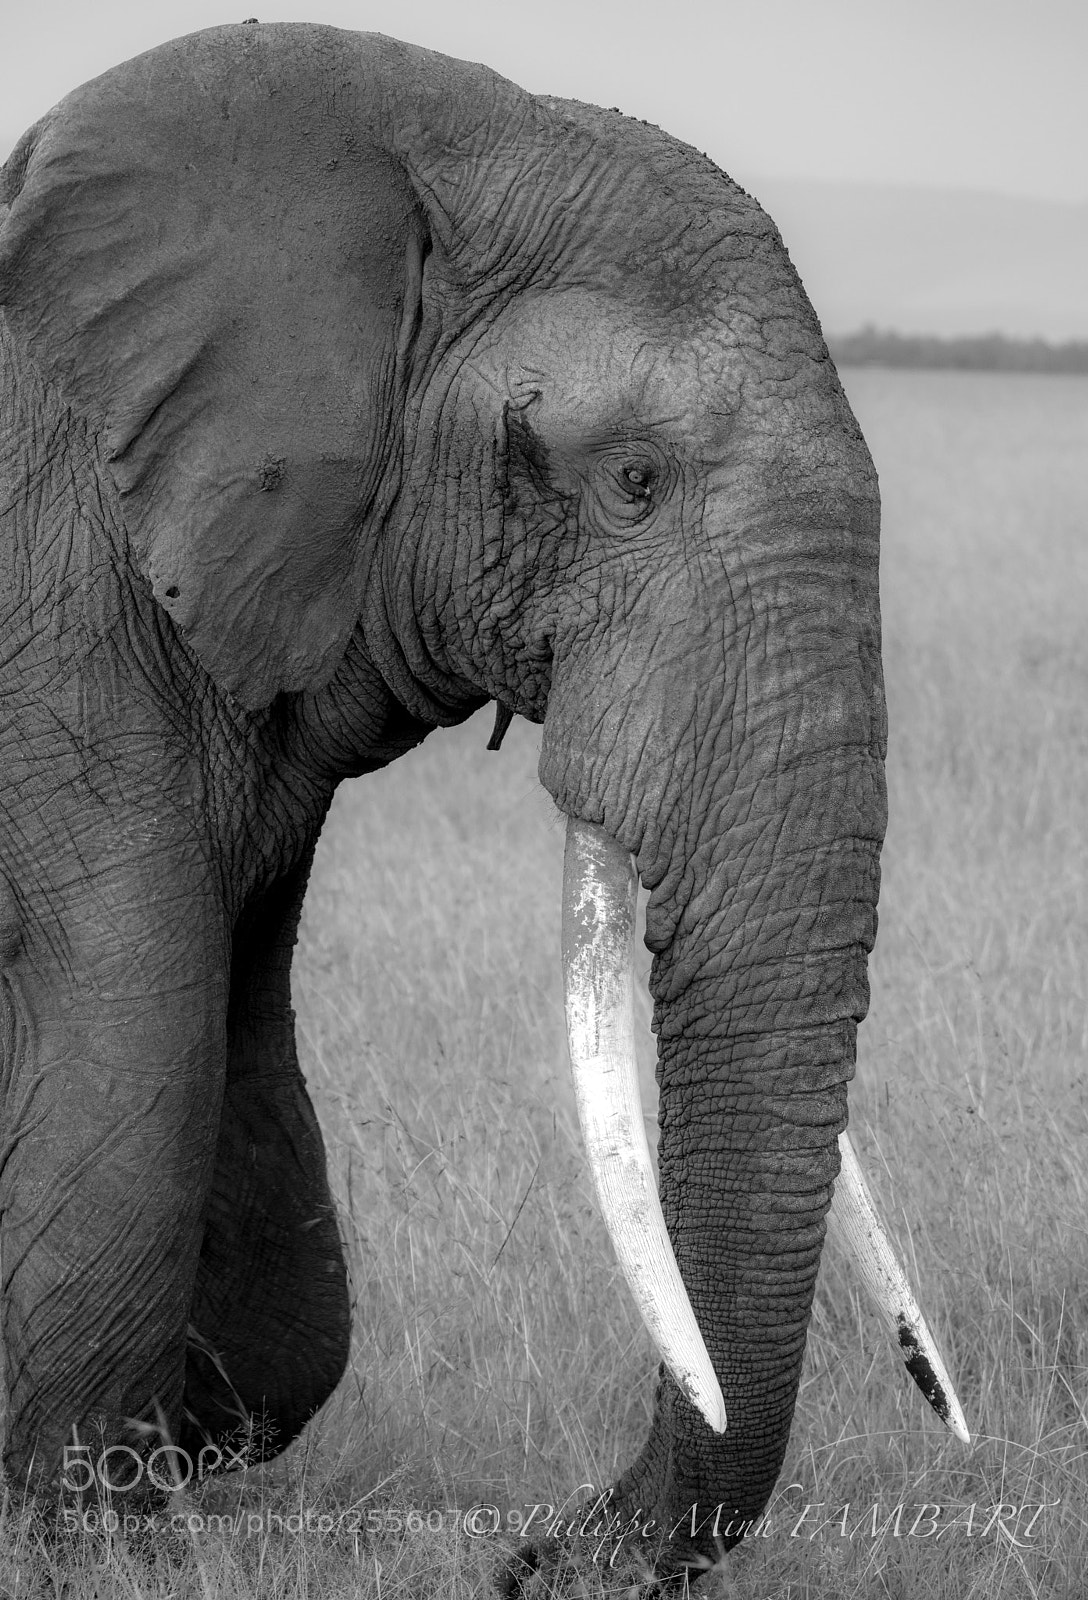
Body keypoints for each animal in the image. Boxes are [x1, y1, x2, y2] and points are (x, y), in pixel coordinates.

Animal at [0, 21, 965, 1578]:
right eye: (632, 481)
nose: (524, 1561)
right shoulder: (56, 636)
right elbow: (133, 1050)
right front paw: (81, 1528)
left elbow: (271, 1199)